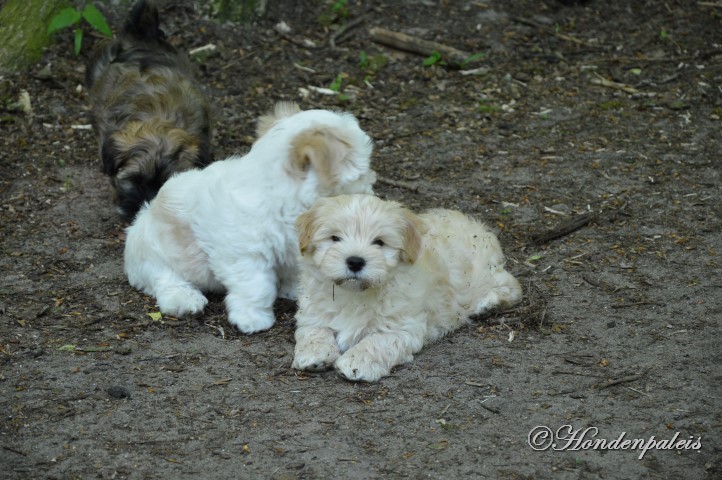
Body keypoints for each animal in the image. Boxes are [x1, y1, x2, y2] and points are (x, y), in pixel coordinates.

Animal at [123, 101, 374, 334]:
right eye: (361, 173)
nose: (370, 191)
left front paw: (294, 290)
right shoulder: (243, 254)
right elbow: (255, 286)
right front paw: (252, 319)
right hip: (152, 253)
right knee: (164, 278)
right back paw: (185, 299)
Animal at [290, 195, 520, 382]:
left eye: (379, 242)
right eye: (335, 238)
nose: (355, 261)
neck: (356, 294)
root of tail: (473, 224)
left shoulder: (403, 327)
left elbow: (378, 340)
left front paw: (357, 362)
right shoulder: (312, 312)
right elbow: (313, 330)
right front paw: (314, 354)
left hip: (485, 271)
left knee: (512, 286)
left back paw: (489, 303)